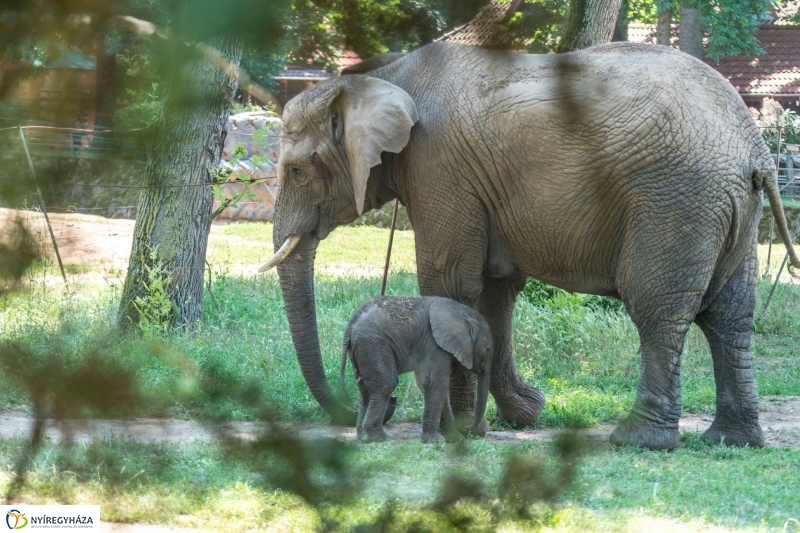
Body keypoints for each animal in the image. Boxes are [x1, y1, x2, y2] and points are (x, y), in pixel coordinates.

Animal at [340, 296, 494, 440]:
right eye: (488, 350)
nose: (468, 428)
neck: (462, 312)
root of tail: (351, 324)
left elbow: (434, 385)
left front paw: (456, 439)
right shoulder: (434, 343)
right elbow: (435, 383)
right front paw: (434, 440)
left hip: (360, 348)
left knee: (364, 390)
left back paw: (362, 438)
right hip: (373, 344)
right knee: (386, 385)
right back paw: (378, 438)